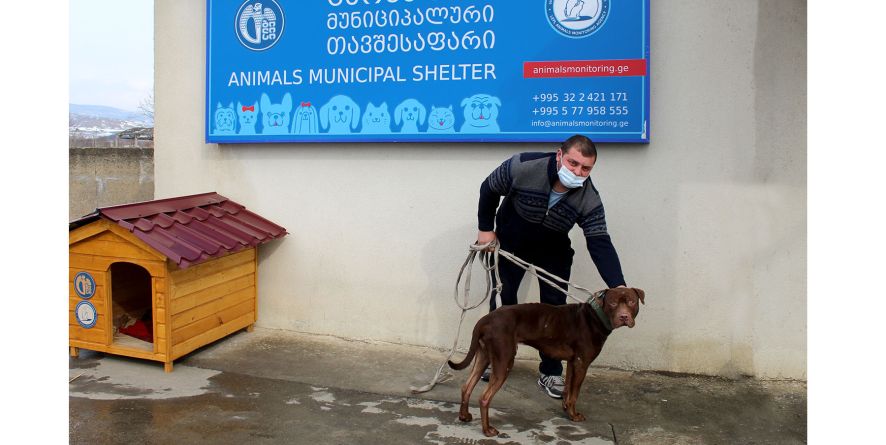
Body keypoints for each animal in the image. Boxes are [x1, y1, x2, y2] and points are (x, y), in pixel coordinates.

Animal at [450, 286, 644, 436]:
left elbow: (568, 391)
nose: (624, 317)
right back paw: (487, 430)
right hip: (504, 360)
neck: (596, 316)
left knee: (466, 387)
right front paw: (574, 416)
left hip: (483, 356)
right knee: (484, 398)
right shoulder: (582, 363)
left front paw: (566, 409)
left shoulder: (573, 363)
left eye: (631, 302)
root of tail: (485, 320)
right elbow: (575, 394)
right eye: (613, 303)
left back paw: (464, 416)